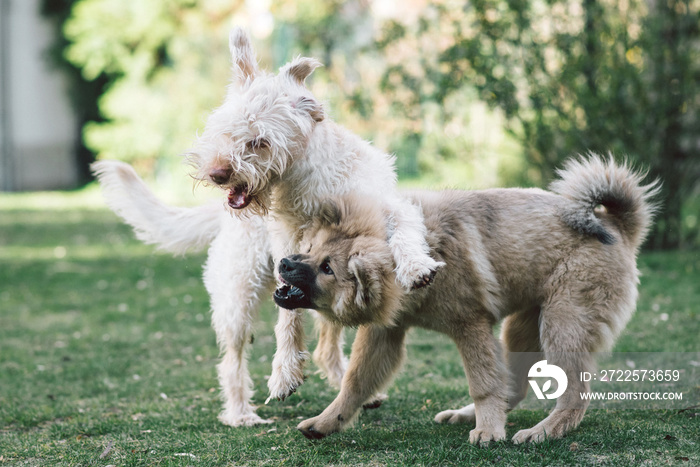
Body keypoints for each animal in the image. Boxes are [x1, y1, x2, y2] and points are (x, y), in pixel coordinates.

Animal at [90, 30, 440, 428]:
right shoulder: (288, 252)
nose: (217, 174)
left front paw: (415, 267)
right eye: (223, 131)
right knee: (232, 361)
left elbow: (405, 232)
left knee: (324, 348)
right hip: (237, 299)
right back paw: (241, 413)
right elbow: (287, 319)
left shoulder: (388, 210)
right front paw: (284, 373)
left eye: (260, 140)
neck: (308, 183)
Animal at [274, 157, 656, 446]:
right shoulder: (385, 334)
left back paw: (544, 430)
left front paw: (488, 432)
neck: (417, 256)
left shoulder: (470, 326)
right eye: (312, 249)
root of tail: (619, 226)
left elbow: (483, 383)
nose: (284, 263)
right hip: (523, 326)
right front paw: (326, 422)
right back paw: (467, 416)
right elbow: (355, 383)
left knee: (573, 393)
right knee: (514, 387)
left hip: (561, 323)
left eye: (327, 268)